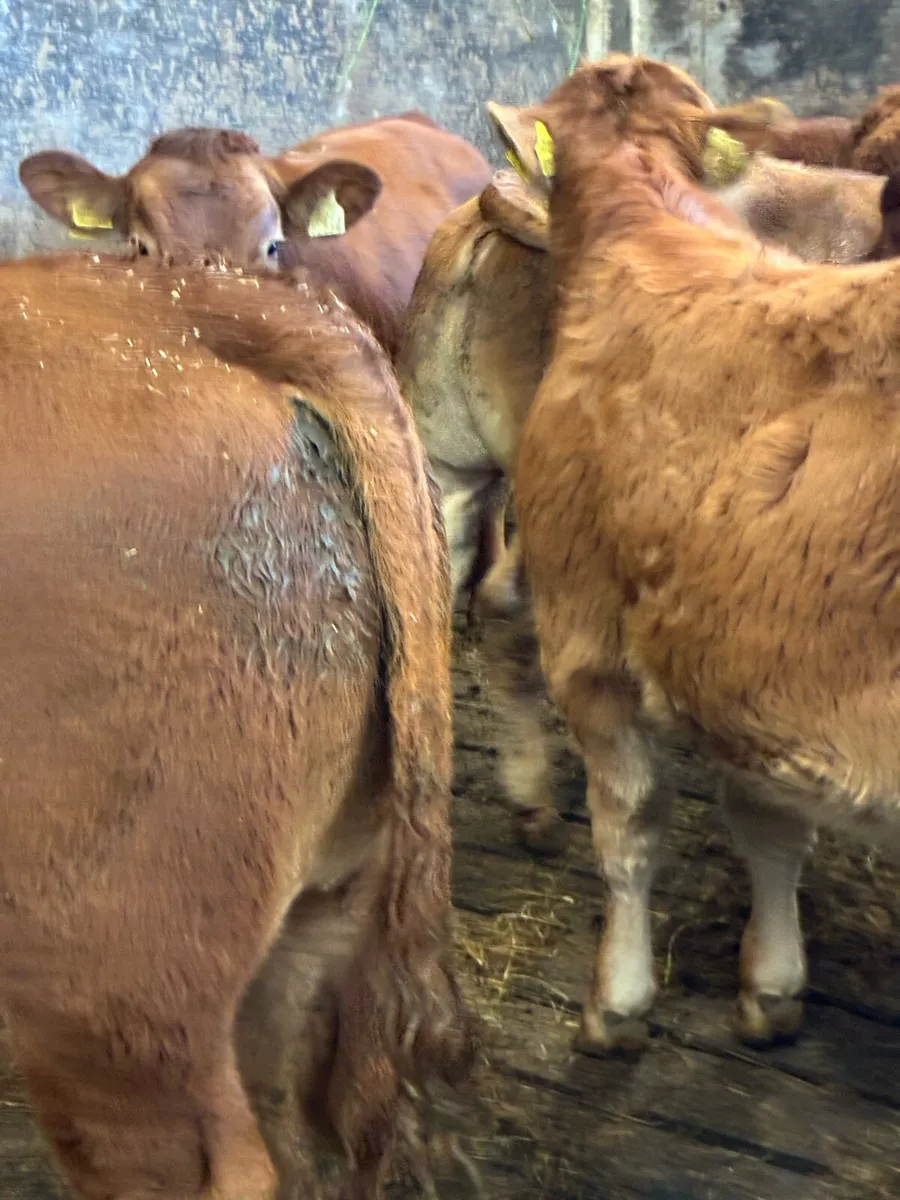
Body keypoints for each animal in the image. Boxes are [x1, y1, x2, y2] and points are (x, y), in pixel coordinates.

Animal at [483, 51, 900, 1057]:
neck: (652, 236)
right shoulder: (754, 664)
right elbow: (772, 828)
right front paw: (772, 986)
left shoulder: (586, 635)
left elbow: (630, 826)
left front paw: (618, 1000)